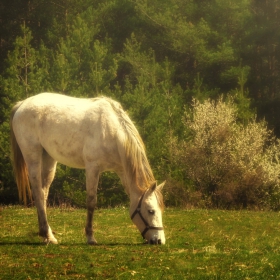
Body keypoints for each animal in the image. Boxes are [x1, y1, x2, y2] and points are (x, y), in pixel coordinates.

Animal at [9, 93, 165, 244]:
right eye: (151, 211)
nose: (159, 240)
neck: (113, 132)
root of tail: (22, 104)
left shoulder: (121, 170)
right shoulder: (92, 167)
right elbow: (91, 202)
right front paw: (90, 237)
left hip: (48, 159)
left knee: (43, 193)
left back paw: (46, 235)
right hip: (33, 155)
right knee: (38, 192)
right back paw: (47, 234)